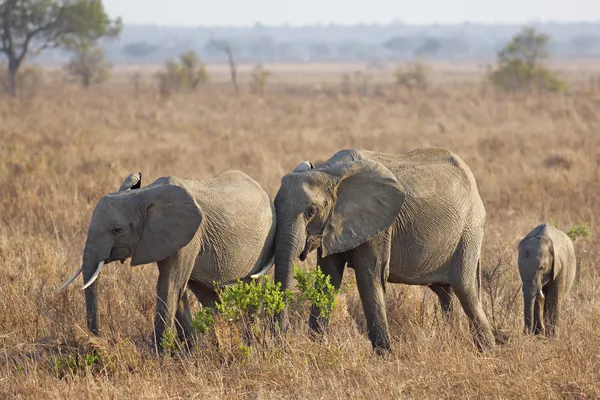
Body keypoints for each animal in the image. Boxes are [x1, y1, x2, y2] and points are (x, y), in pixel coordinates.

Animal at [59, 170, 276, 348]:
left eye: (117, 230)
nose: (96, 341)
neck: (143, 195)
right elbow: (177, 288)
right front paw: (189, 351)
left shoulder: (189, 236)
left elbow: (170, 284)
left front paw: (159, 354)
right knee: (207, 294)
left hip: (265, 245)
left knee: (253, 286)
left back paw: (253, 344)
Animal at [274, 148, 494, 354]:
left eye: (311, 211)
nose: (283, 340)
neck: (329, 173)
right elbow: (329, 276)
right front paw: (318, 345)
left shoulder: (380, 225)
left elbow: (369, 276)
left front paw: (385, 355)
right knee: (445, 291)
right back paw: (451, 339)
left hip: (469, 229)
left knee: (465, 288)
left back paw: (487, 350)